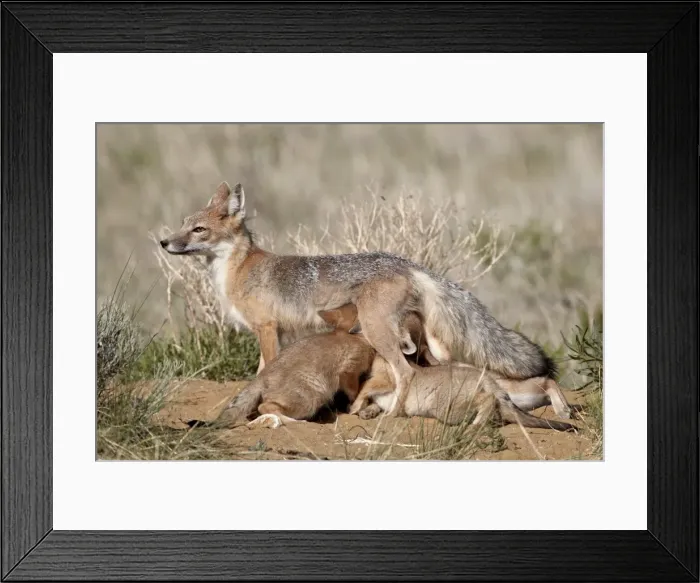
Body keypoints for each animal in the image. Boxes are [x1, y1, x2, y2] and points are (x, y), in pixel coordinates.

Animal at [160, 181, 556, 417]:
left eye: (198, 230)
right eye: (182, 224)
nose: (164, 242)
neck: (237, 269)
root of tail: (406, 262)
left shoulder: (267, 328)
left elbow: (265, 370)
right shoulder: (278, 331)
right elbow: (260, 371)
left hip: (377, 330)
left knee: (405, 372)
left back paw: (393, 414)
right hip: (424, 339)